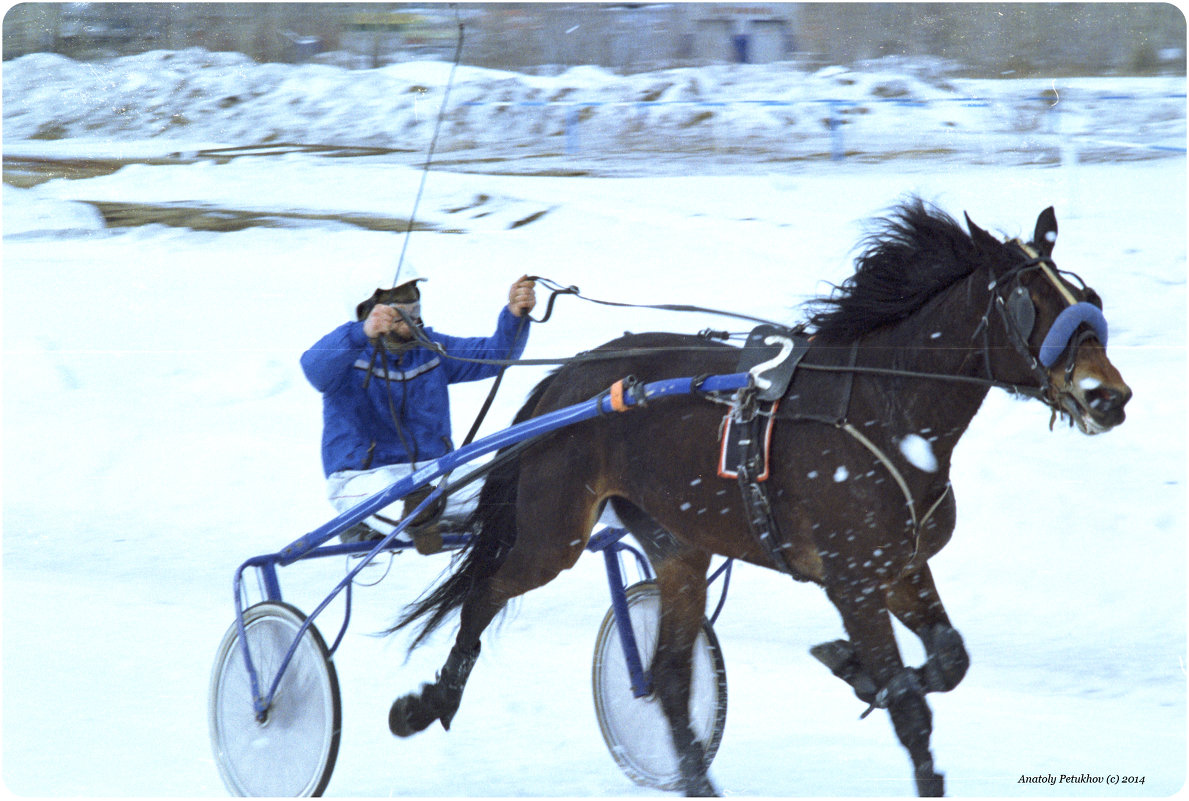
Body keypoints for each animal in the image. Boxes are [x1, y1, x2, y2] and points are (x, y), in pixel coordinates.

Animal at [385, 199, 1127, 793]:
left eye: (1084, 296)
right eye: (1031, 303)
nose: (1109, 396)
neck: (885, 408)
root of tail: (571, 377)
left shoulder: (900, 567)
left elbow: (948, 660)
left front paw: (853, 666)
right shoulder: (853, 580)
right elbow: (911, 708)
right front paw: (868, 676)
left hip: (677, 544)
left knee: (669, 674)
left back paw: (695, 777)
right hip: (552, 533)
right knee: (484, 592)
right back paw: (427, 702)